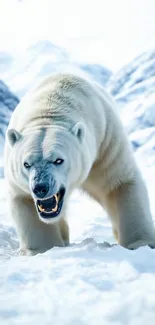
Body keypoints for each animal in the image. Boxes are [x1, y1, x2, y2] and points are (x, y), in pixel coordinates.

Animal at [3, 72, 155, 254]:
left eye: (58, 160)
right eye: (26, 164)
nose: (40, 187)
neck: (50, 108)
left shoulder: (105, 145)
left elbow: (119, 184)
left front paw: (141, 243)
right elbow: (25, 200)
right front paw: (43, 249)